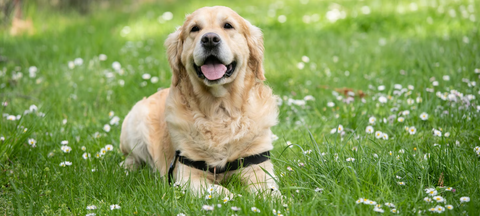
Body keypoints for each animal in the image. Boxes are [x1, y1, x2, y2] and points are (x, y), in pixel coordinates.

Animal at [118, 6, 280, 196]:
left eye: (228, 25)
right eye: (194, 29)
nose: (210, 39)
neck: (219, 110)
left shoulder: (258, 167)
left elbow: (270, 192)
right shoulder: (187, 177)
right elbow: (222, 191)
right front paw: (237, 197)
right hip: (134, 123)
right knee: (132, 158)